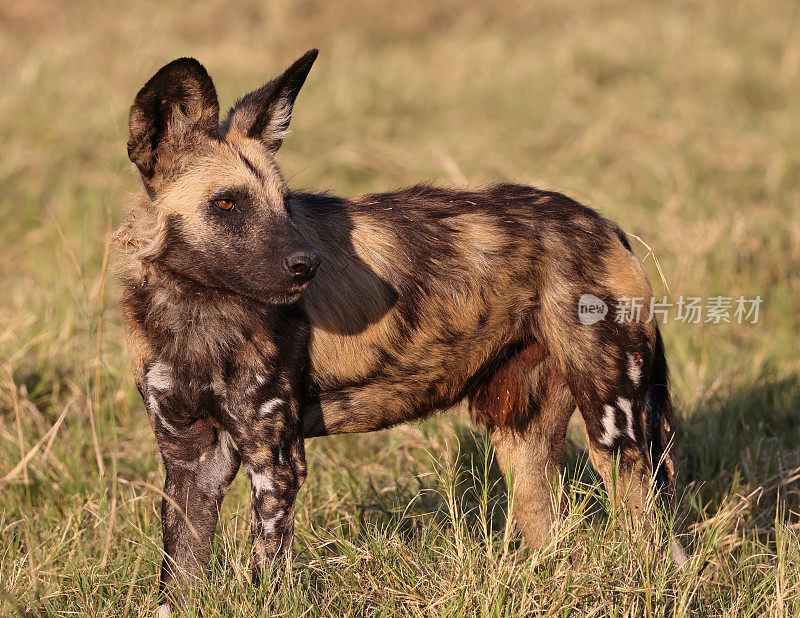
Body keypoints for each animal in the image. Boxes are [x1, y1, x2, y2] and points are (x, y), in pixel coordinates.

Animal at [117, 50, 688, 608]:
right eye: (227, 203)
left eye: (285, 203)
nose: (308, 263)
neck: (193, 309)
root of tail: (603, 223)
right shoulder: (192, 463)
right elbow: (177, 585)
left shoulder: (274, 462)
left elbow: (266, 575)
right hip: (521, 445)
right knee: (553, 534)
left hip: (616, 434)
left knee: (647, 530)